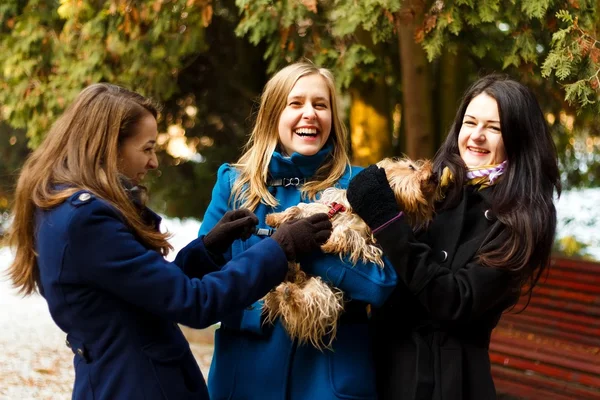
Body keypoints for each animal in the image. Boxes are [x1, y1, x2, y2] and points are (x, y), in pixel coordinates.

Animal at [262, 158, 440, 348]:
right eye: (411, 167)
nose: (435, 174)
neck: (354, 213)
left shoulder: (365, 242)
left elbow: (345, 232)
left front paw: (330, 244)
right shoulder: (321, 211)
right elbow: (299, 209)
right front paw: (275, 219)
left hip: (323, 290)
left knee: (306, 302)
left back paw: (289, 291)